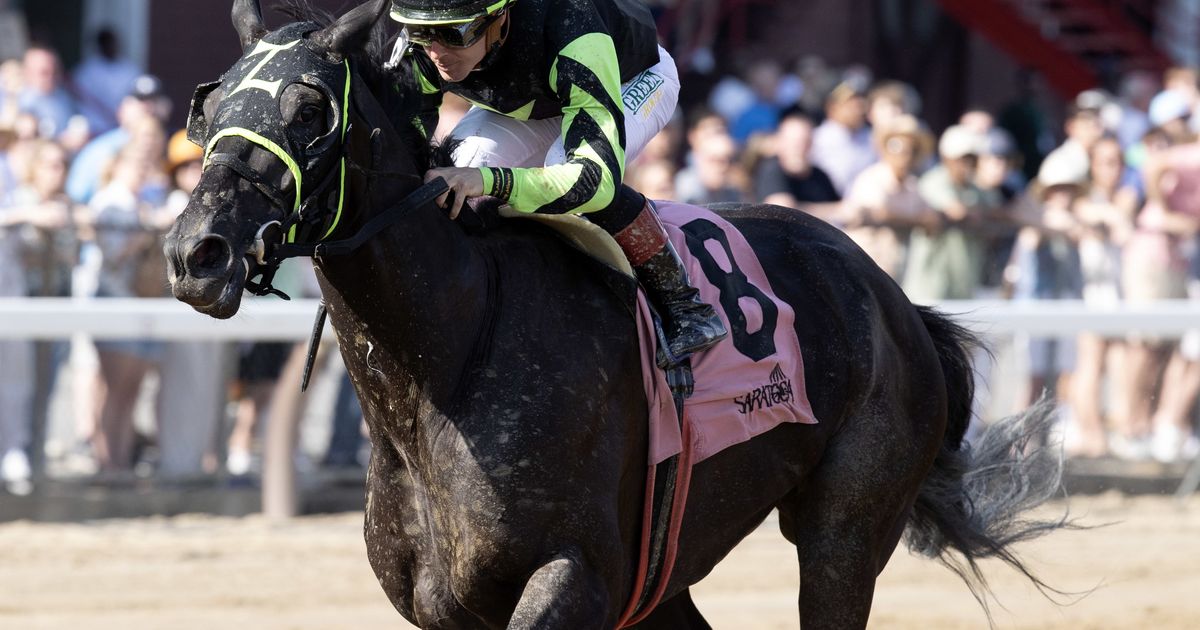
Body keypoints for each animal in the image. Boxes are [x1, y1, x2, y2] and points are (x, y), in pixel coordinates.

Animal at [164, 1, 1067, 627]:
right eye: (208, 108)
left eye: (310, 110)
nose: (196, 252)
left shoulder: (578, 574)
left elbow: (596, 171)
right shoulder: (450, 605)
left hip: (845, 531)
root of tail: (895, 299)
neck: (447, 362)